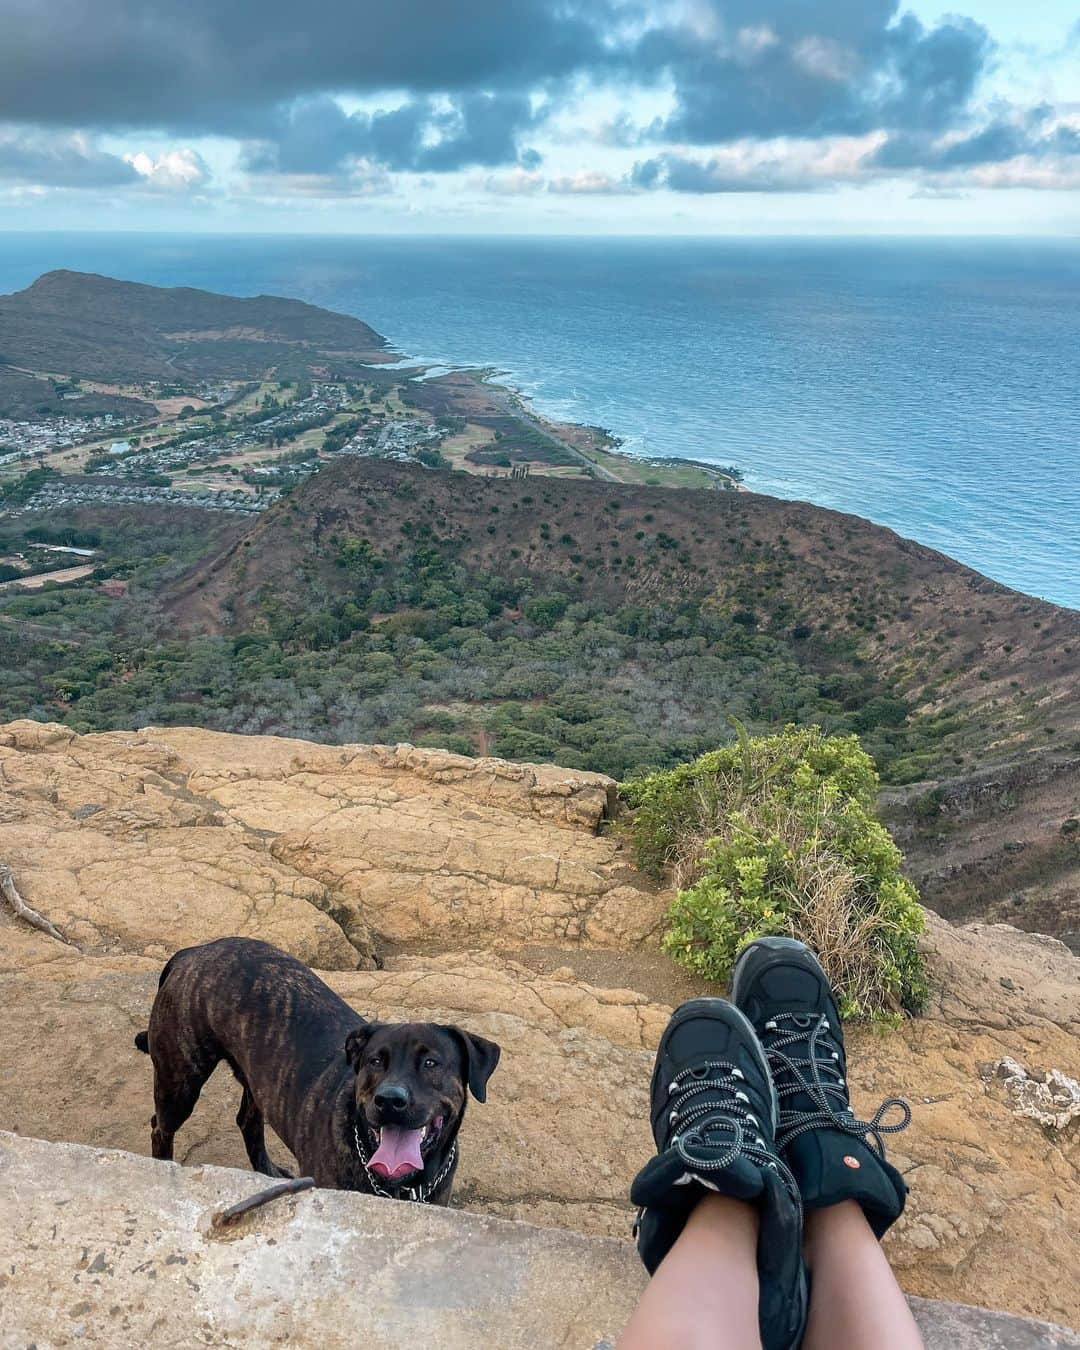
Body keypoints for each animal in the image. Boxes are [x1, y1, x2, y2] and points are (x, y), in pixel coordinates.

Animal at [135, 939, 502, 1204]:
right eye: (375, 1061)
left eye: (430, 1063)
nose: (389, 1100)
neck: (400, 1183)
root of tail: (194, 951)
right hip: (180, 1082)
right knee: (160, 1127)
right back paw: (162, 1169)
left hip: (257, 1079)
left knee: (248, 1120)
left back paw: (267, 1171)